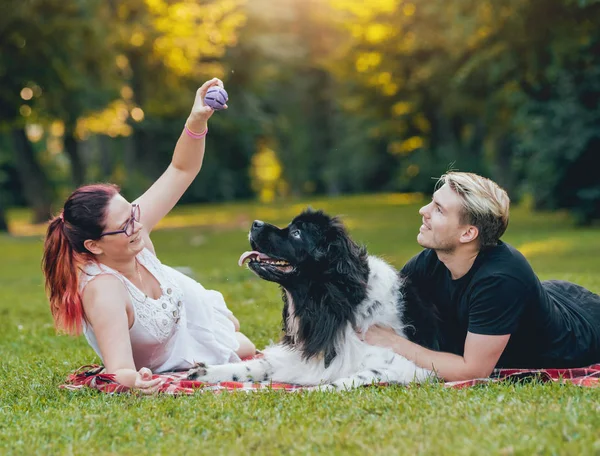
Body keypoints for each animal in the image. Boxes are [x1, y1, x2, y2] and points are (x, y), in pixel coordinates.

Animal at [188, 208, 440, 390]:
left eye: (297, 233)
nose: (255, 223)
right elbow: (256, 364)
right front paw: (208, 371)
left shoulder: (405, 365)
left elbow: (351, 378)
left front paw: (318, 391)